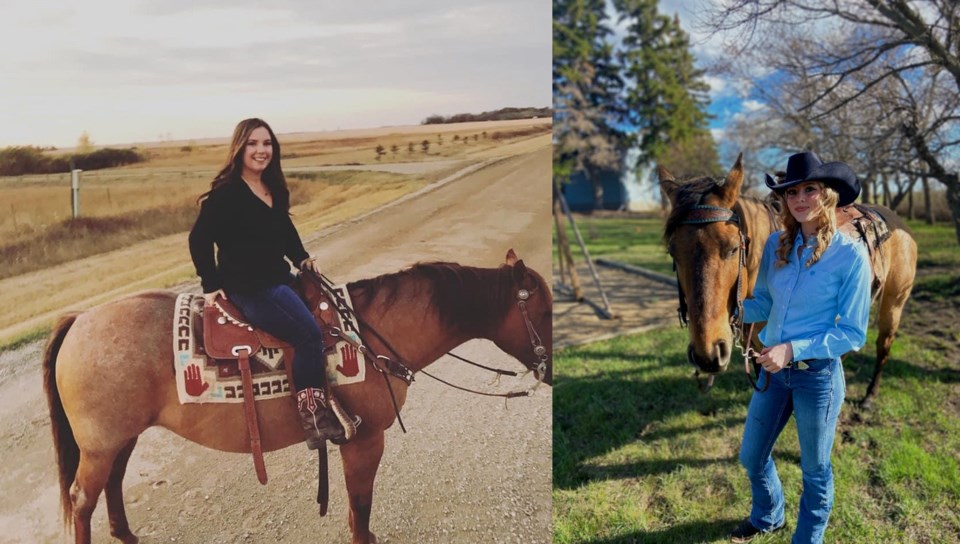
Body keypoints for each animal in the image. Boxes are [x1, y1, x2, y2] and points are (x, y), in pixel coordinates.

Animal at [43, 250, 556, 544]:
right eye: (546, 310)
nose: (550, 371)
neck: (368, 334)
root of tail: (78, 320)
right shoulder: (364, 440)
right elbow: (360, 509)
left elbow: (355, 510)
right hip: (100, 445)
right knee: (83, 499)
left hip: (119, 439)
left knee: (111, 484)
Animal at [660, 155, 916, 406]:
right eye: (673, 252)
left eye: (733, 248)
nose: (708, 355)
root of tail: (898, 223)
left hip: (894, 303)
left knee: (883, 345)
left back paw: (869, 396)